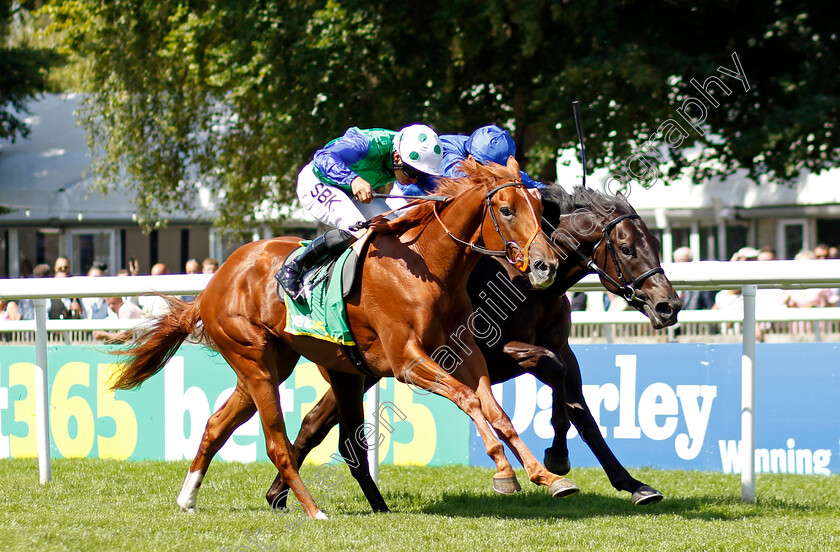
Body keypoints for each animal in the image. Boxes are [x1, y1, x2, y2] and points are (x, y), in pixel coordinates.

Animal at [110, 157, 576, 520]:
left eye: (539, 207)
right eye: (506, 209)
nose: (545, 265)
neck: (429, 267)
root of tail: (213, 284)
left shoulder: (467, 354)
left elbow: (495, 410)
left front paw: (547, 476)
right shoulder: (408, 361)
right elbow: (467, 400)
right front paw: (503, 471)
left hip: (285, 366)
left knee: (216, 425)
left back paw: (188, 498)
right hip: (254, 360)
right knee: (277, 444)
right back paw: (313, 509)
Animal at [266, 184, 684, 508]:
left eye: (657, 243)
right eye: (627, 249)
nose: (670, 305)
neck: (522, 283)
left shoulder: (562, 347)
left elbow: (582, 412)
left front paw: (632, 484)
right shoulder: (489, 352)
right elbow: (552, 369)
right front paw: (557, 457)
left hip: (362, 369)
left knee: (315, 421)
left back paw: (278, 493)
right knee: (316, 422)